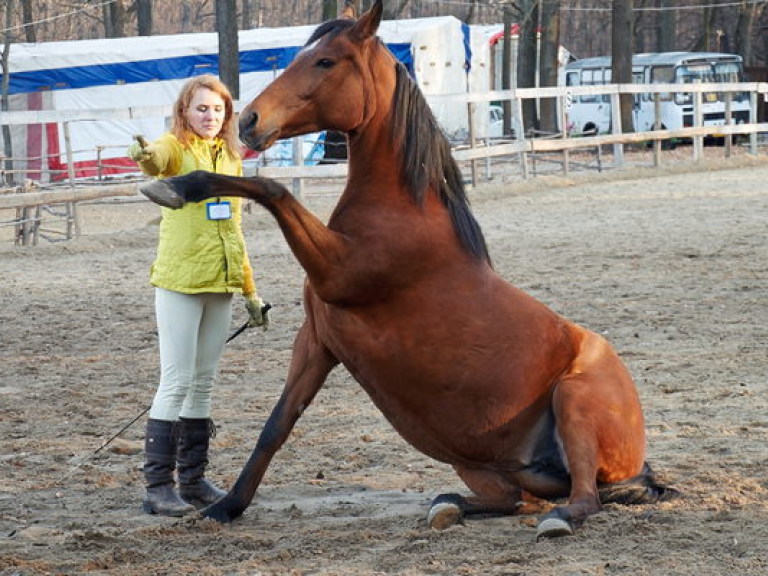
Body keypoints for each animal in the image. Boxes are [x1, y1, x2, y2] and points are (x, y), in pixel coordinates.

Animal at [141, 1, 676, 540]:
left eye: (326, 61)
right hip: (481, 464)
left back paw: (557, 519)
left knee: (584, 497)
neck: (402, 209)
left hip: (574, 400)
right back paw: (449, 504)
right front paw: (226, 507)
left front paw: (179, 186)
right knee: (515, 500)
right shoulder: (318, 340)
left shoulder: (339, 275)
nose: (249, 120)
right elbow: (277, 425)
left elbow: (275, 189)